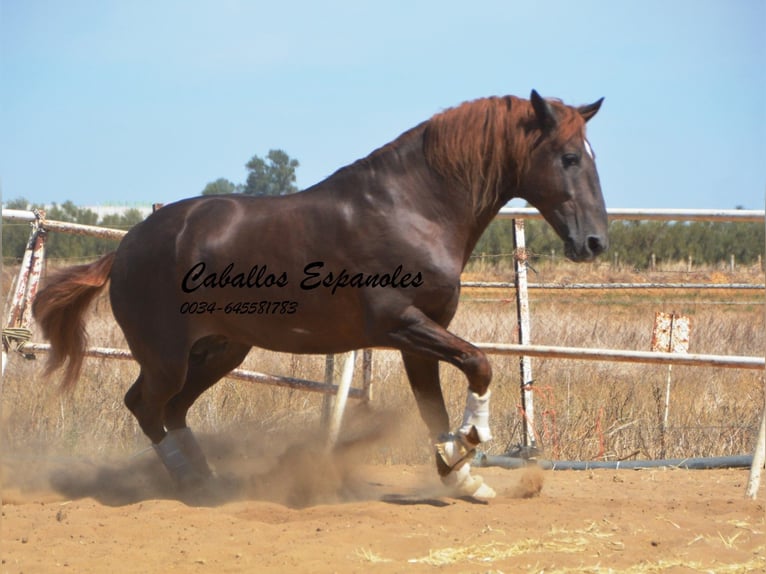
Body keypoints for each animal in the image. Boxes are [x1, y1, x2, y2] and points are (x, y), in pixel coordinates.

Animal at [34, 92, 608, 502]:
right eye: (569, 157)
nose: (594, 242)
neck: (413, 209)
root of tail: (126, 245)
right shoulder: (400, 323)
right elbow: (480, 364)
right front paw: (469, 443)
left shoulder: (421, 335)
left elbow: (434, 405)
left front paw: (459, 475)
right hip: (167, 357)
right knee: (146, 406)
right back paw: (192, 485)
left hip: (221, 350)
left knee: (172, 410)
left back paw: (210, 481)